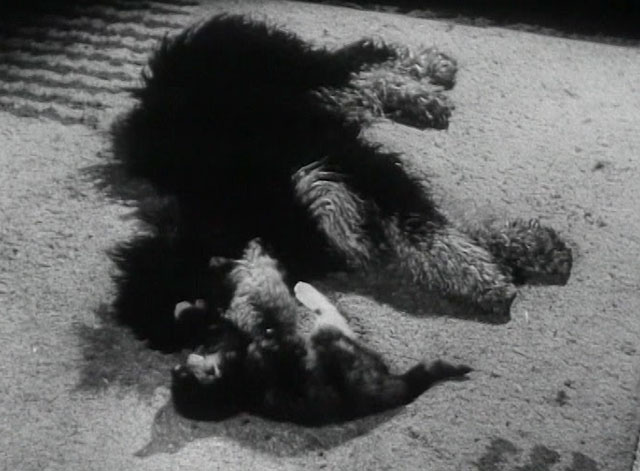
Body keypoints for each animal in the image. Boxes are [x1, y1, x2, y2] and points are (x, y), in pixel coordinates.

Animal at [109, 13, 568, 354]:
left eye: (210, 310)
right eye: (209, 338)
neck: (238, 211)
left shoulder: (344, 165)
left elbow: (425, 230)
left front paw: (489, 274)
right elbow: (435, 227)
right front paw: (514, 251)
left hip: (298, 73)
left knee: (361, 58)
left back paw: (431, 71)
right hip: (319, 97)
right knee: (363, 80)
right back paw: (421, 96)